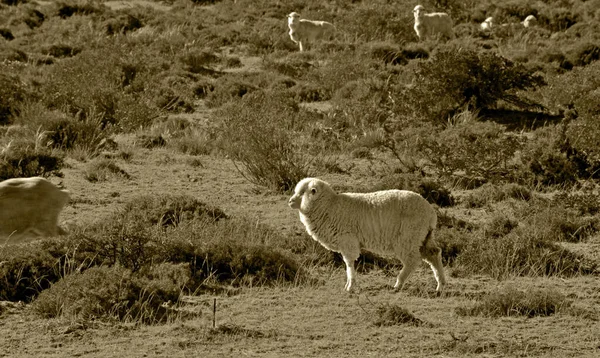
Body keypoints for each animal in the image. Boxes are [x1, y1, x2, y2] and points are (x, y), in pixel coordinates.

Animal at [288, 178, 448, 292]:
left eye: (303, 193)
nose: (290, 201)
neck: (330, 207)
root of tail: (431, 213)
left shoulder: (348, 240)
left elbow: (349, 263)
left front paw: (350, 286)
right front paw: (349, 284)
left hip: (408, 237)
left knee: (413, 260)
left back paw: (398, 284)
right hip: (423, 236)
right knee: (434, 253)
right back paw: (440, 286)